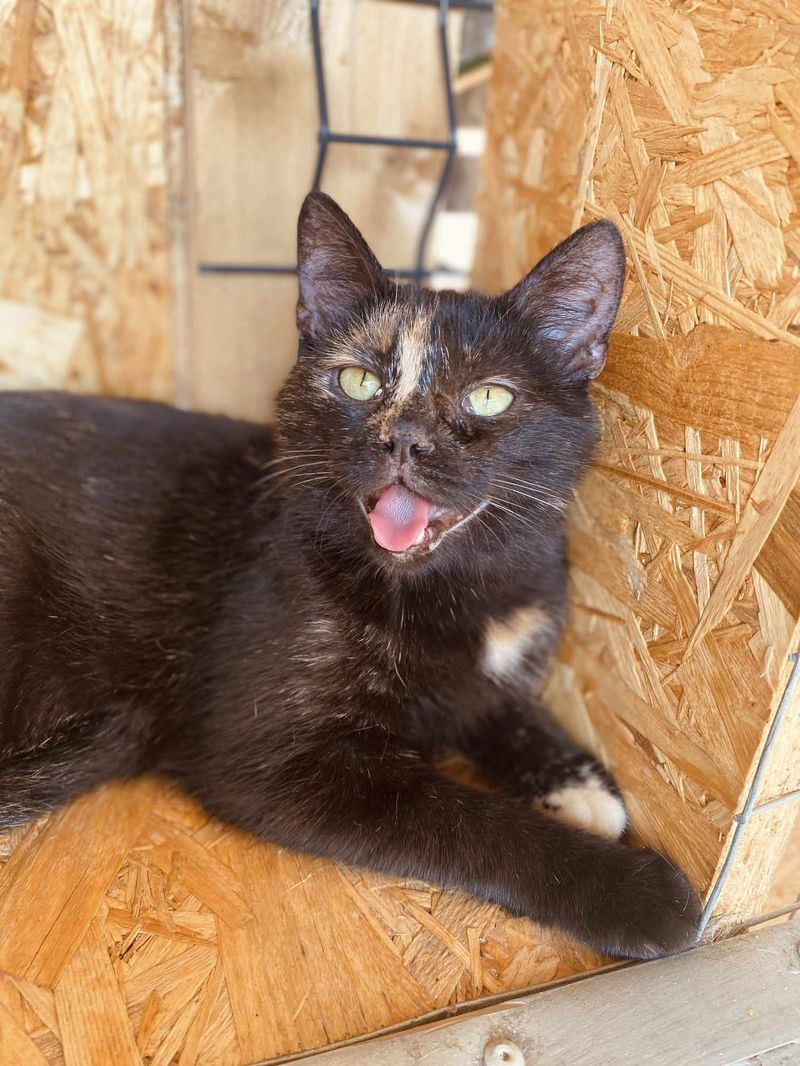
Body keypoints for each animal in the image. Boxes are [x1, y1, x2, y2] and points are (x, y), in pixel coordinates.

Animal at [0, 191, 701, 960]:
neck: (452, 591)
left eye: (488, 397)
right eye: (358, 381)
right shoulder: (269, 756)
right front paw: (633, 890)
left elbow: (497, 703)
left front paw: (577, 781)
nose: (404, 439)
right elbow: (460, 818)